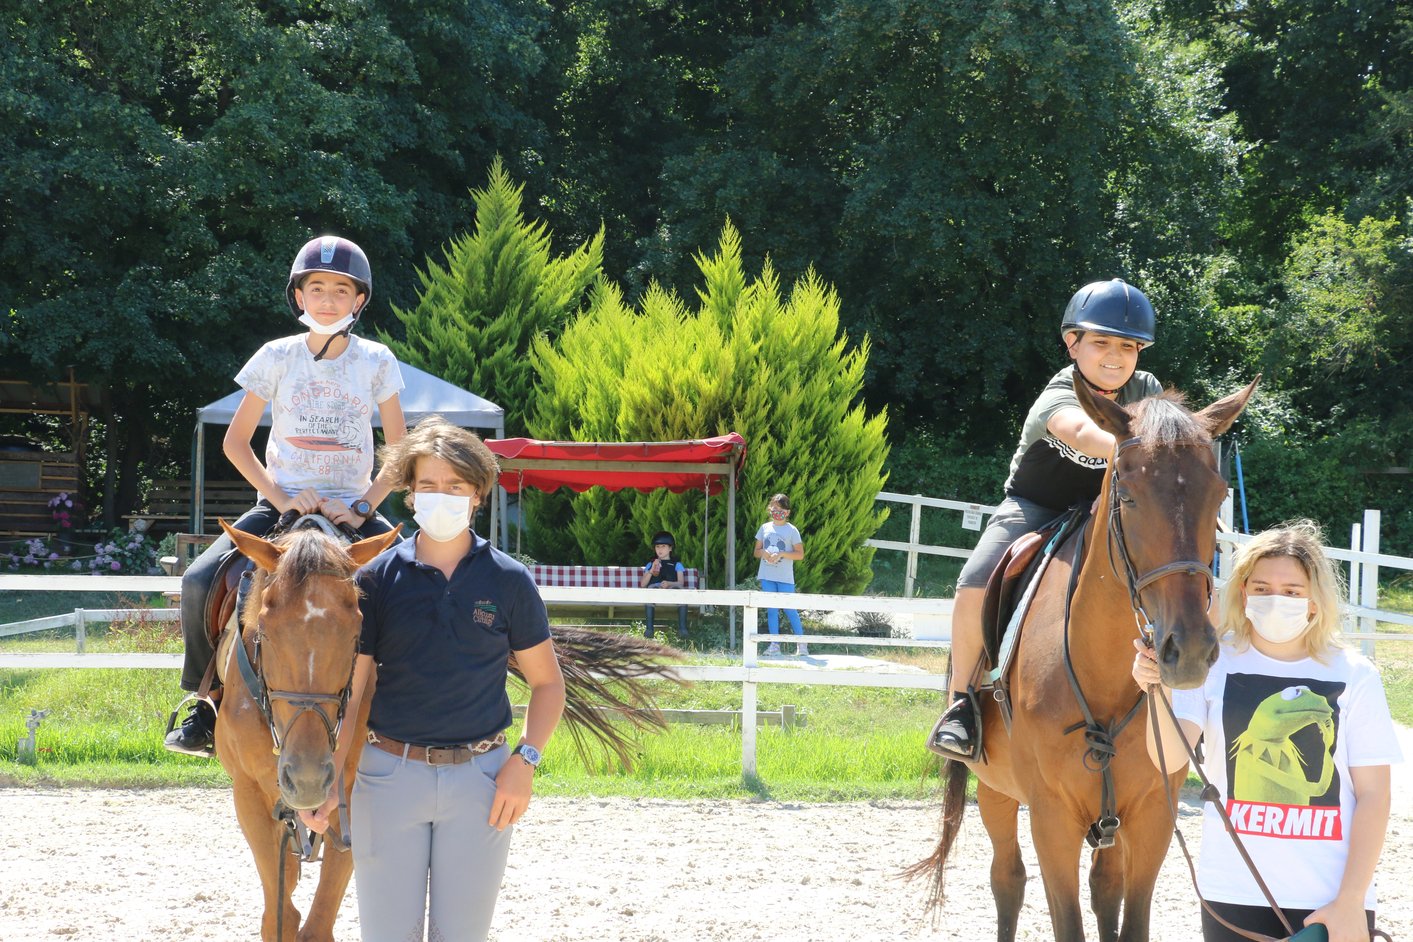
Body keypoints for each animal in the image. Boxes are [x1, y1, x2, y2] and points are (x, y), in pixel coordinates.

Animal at [217, 519, 681, 937]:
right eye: (265, 631)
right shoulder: (249, 798)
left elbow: (313, 925)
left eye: (356, 635)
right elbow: (279, 916)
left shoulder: (351, 802)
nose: (309, 778)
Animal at [915, 378, 1260, 942]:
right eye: (1128, 497)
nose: (1187, 650)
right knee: (1007, 879)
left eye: (1217, 498)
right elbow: (1065, 919)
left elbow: (1128, 915)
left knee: (1103, 888)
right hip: (995, 792)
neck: (1104, 675)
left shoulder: (1152, 815)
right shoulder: (1052, 819)